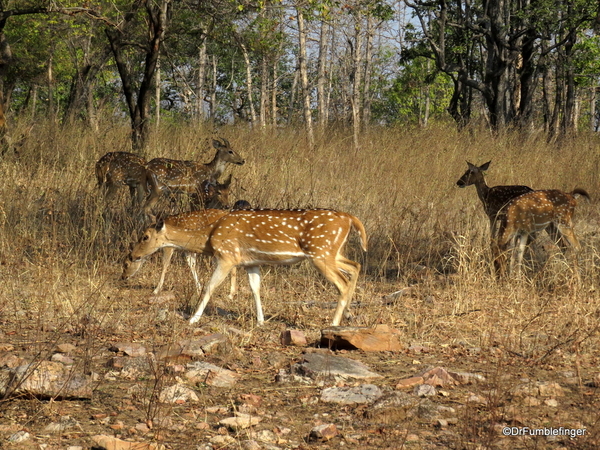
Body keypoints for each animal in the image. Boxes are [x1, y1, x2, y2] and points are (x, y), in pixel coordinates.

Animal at [188, 207, 368, 326]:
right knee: (355, 266)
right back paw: (348, 315)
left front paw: (193, 319)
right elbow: (255, 287)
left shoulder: (226, 257)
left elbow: (210, 285)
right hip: (332, 253)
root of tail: (349, 218)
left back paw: (333, 324)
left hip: (321, 253)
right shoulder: (250, 262)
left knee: (343, 282)